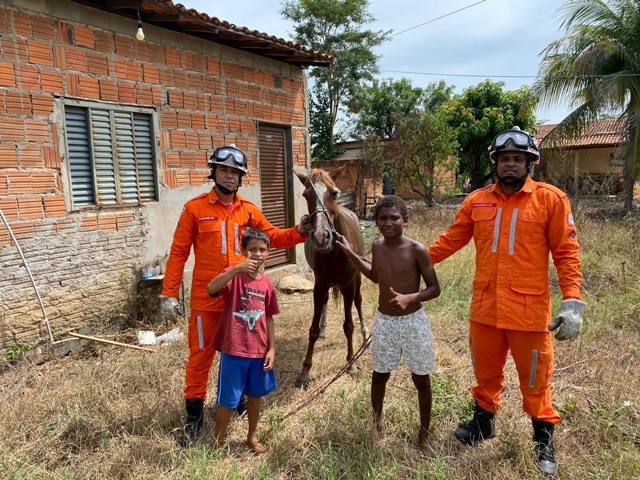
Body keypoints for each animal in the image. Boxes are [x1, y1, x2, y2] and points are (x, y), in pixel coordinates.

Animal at [292, 167, 368, 388]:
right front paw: (304, 371)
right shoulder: (320, 285)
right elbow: (313, 329)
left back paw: (365, 333)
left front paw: (351, 364)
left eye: (334, 193)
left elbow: (348, 326)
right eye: (306, 195)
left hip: (357, 280)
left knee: (359, 302)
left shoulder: (349, 285)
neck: (335, 252)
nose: (320, 237)